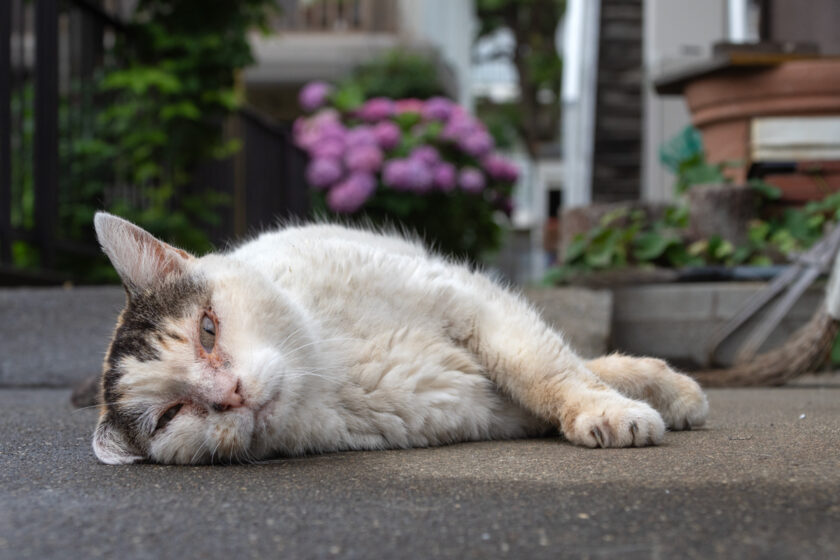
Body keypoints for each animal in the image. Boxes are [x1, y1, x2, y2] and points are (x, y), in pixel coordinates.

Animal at [93, 212, 708, 466]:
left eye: (208, 329)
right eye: (171, 414)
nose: (233, 395)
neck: (330, 362)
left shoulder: (470, 302)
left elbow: (545, 370)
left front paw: (616, 410)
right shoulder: (489, 408)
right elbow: (549, 382)